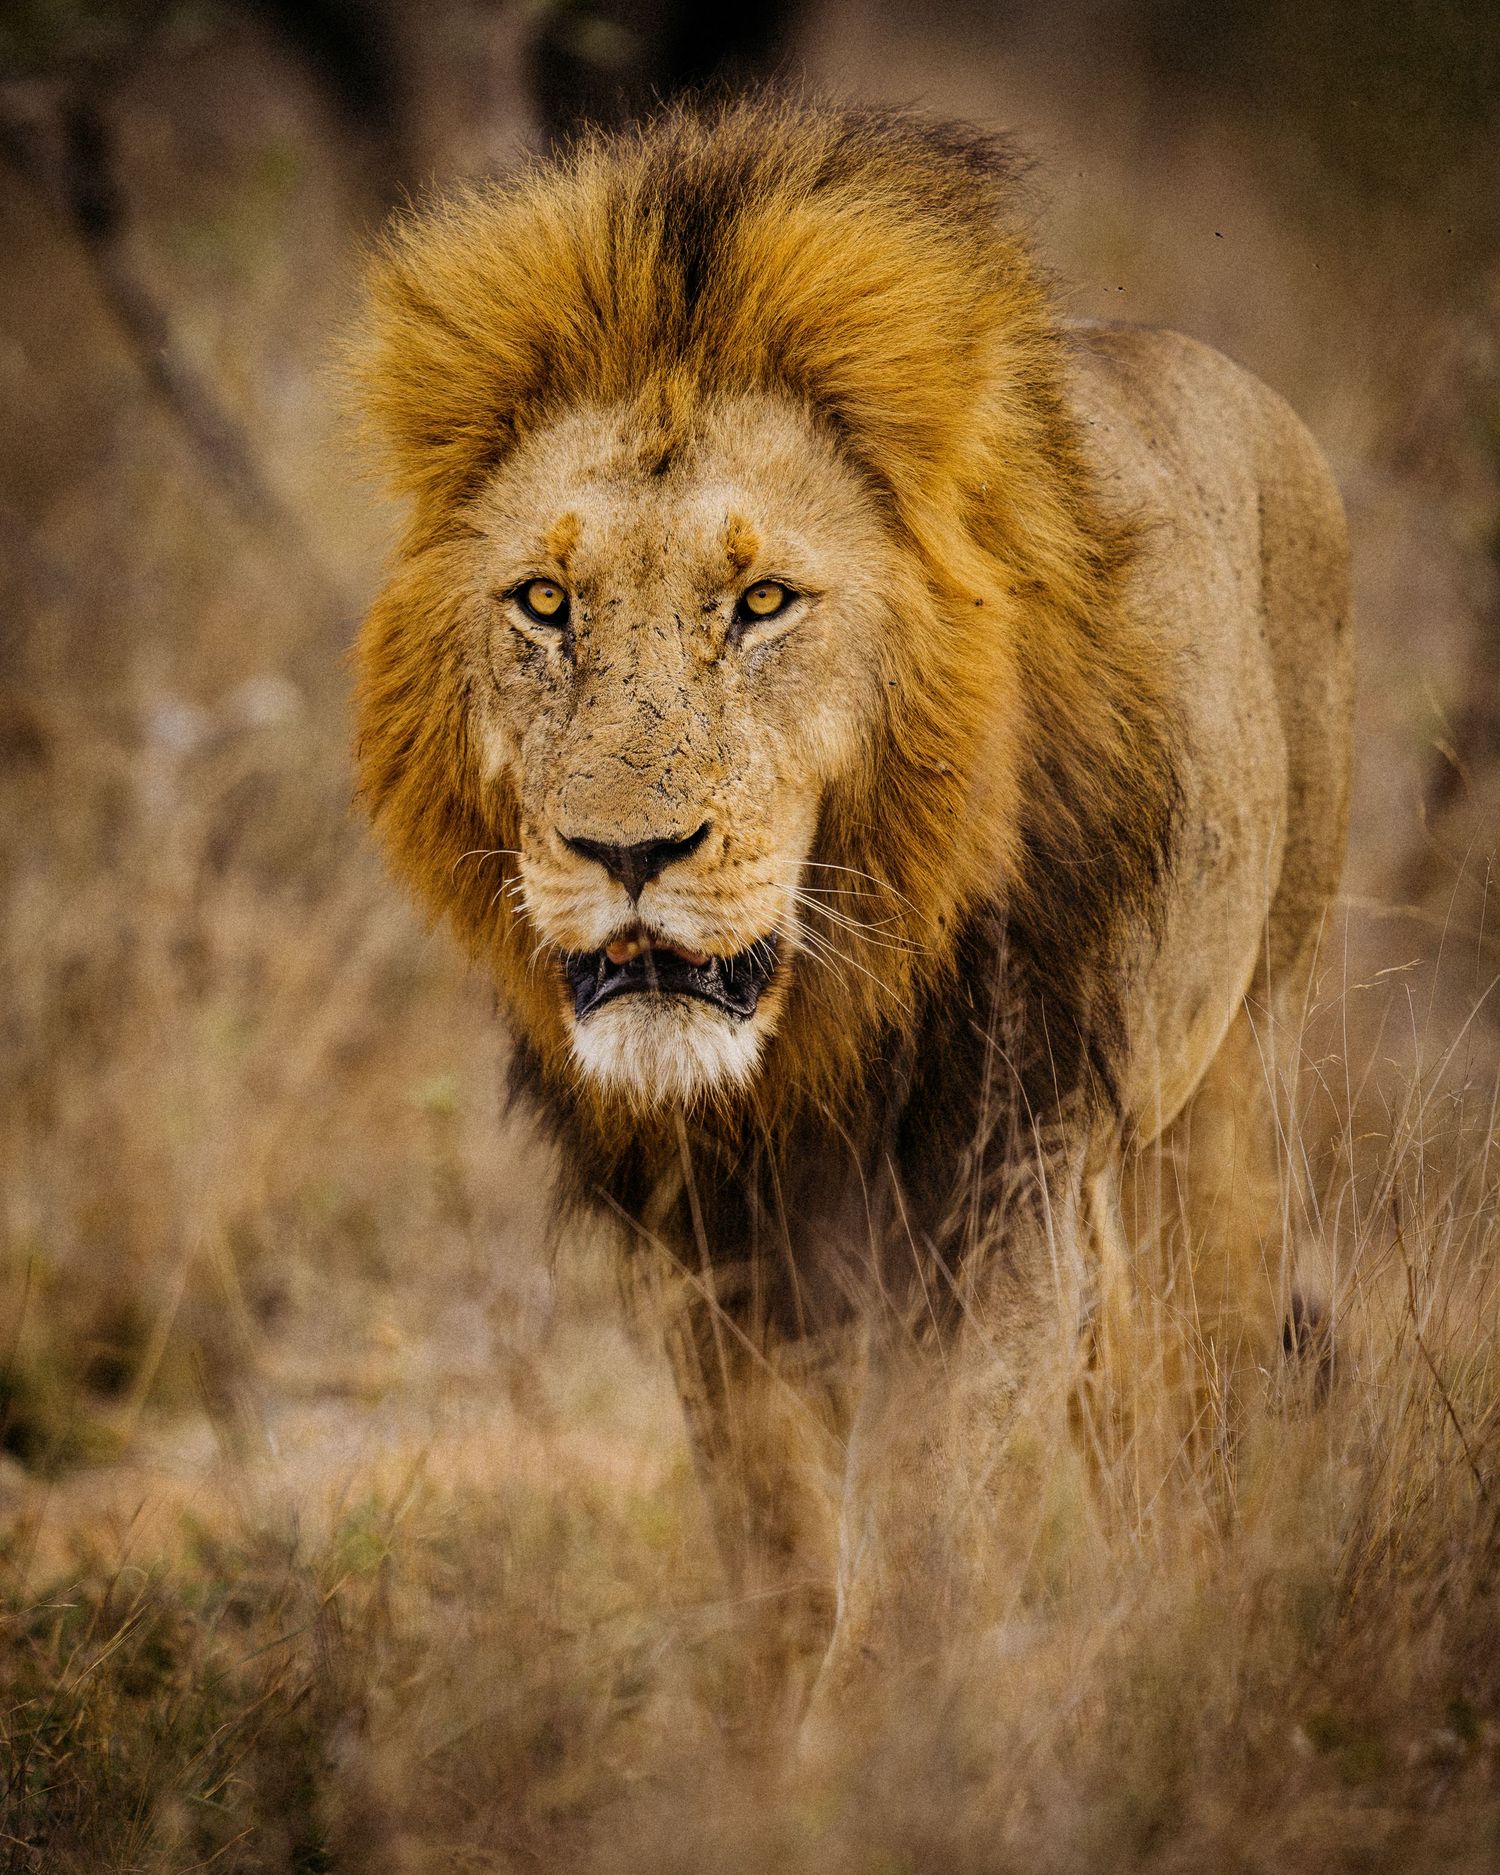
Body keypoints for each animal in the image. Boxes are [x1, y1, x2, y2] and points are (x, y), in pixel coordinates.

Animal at [350, 98, 1353, 1714]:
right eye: (545, 604)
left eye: (763, 603)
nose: (628, 850)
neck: (810, 1035)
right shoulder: (716, 1250)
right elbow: (780, 1566)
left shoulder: (995, 1193)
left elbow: (921, 1565)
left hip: (1223, 1087)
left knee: (1200, 1410)